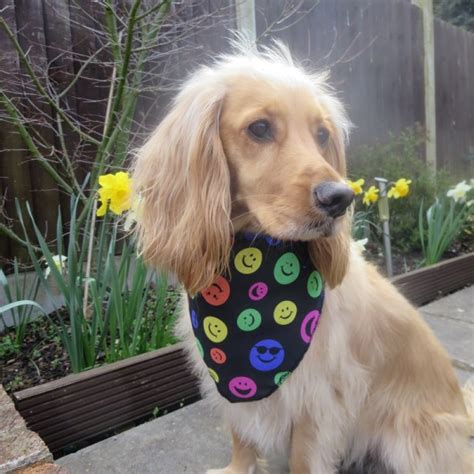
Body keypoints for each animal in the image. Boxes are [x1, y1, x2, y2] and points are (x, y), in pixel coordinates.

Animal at [131, 42, 472, 472]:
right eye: (259, 128)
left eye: (322, 134)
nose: (340, 198)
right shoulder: (239, 396)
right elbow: (241, 437)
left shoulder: (318, 400)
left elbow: (302, 460)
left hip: (411, 441)